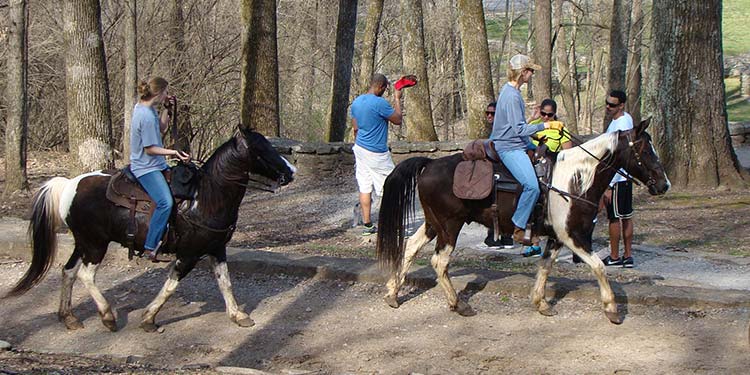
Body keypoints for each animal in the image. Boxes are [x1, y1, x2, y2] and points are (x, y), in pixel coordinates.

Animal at [3, 129, 296, 332]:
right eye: (262, 149)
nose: (291, 170)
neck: (205, 197)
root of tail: (69, 185)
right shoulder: (188, 255)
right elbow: (170, 287)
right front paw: (148, 318)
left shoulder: (216, 249)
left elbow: (225, 282)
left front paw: (238, 315)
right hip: (96, 244)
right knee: (85, 275)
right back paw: (108, 317)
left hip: (83, 242)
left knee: (68, 272)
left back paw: (69, 317)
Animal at [378, 119, 672, 324]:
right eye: (644, 150)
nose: (664, 185)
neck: (575, 180)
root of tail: (429, 164)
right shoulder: (574, 236)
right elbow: (599, 266)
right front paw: (611, 309)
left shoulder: (556, 238)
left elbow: (545, 266)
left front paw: (540, 302)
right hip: (450, 226)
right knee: (439, 261)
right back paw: (459, 304)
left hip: (433, 223)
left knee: (410, 247)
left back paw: (393, 293)